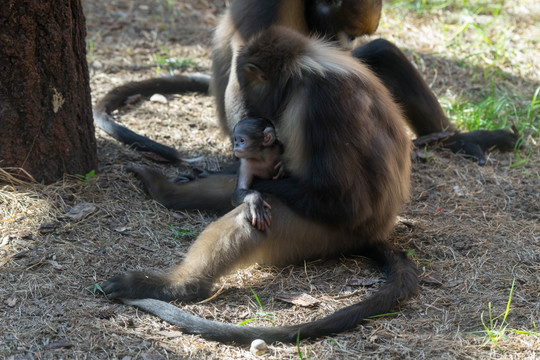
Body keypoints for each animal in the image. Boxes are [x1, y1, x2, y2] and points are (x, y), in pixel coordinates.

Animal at [104, 24, 418, 344]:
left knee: (257, 211)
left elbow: (345, 202)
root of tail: (375, 233)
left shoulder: (321, 104)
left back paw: (180, 284)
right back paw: (164, 189)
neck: (303, 72)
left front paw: (246, 192)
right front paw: (202, 177)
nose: (249, 111)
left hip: (324, 235)